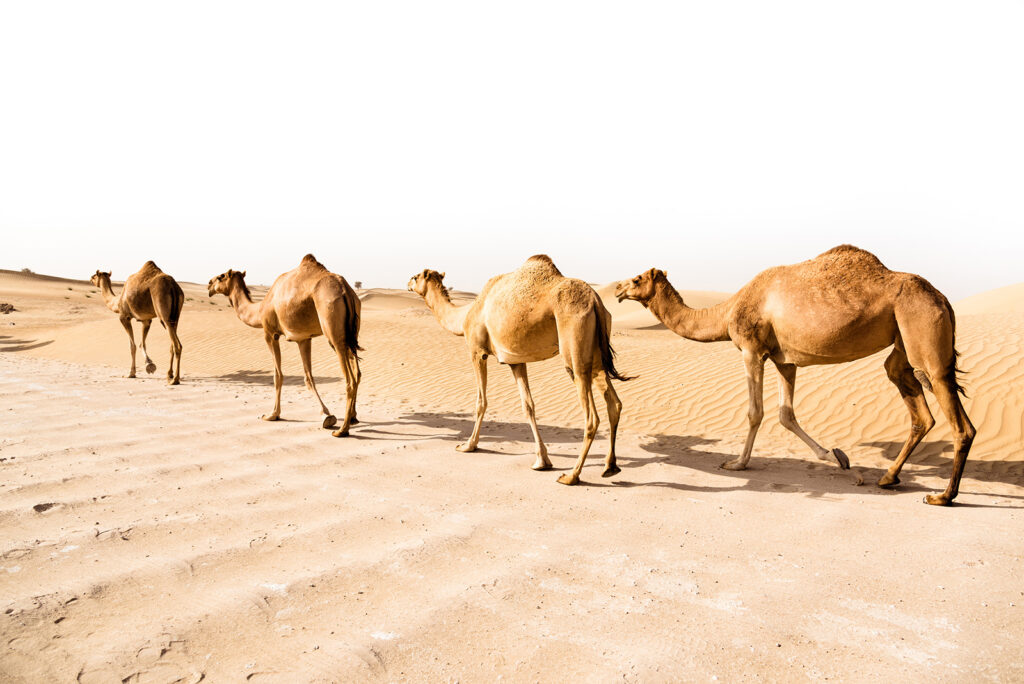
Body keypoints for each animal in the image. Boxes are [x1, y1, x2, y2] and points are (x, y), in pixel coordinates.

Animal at [208, 254, 361, 437]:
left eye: (221, 276)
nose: (209, 285)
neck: (259, 309)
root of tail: (345, 290)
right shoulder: (303, 339)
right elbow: (308, 377)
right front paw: (326, 415)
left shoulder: (270, 333)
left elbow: (278, 376)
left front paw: (272, 414)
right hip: (352, 334)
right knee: (358, 373)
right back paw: (353, 418)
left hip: (333, 330)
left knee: (349, 378)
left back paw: (342, 430)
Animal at [408, 255, 631, 485]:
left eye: (415, 277)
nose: (407, 283)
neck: (465, 316)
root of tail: (595, 300)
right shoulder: (516, 361)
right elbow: (528, 406)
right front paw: (542, 461)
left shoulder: (477, 352)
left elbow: (481, 402)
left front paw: (468, 445)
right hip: (597, 354)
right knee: (614, 403)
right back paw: (610, 466)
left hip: (575, 349)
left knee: (591, 416)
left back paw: (571, 476)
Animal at [615, 245, 975, 506]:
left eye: (637, 279)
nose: (616, 288)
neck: (727, 312)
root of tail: (943, 299)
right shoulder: (785, 361)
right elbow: (786, 414)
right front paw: (837, 458)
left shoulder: (751, 349)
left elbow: (756, 412)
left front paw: (737, 464)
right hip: (903, 338)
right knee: (915, 402)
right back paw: (888, 478)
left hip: (922, 327)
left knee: (959, 421)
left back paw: (943, 496)